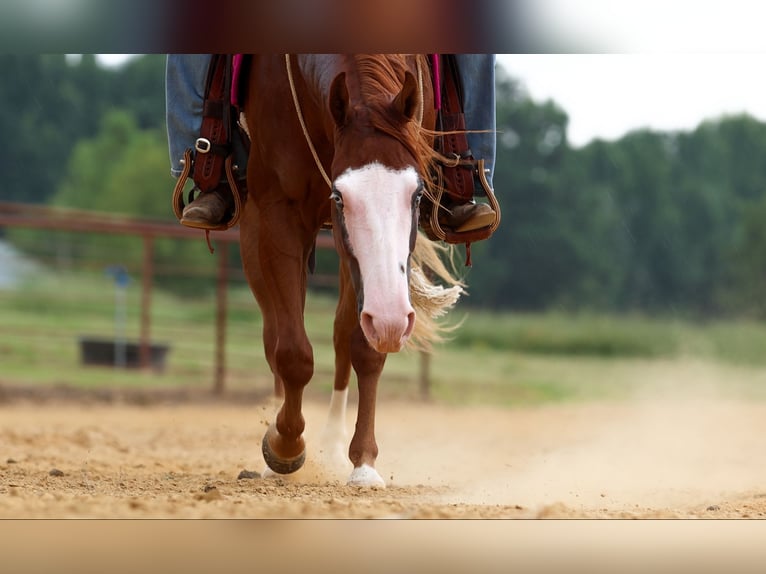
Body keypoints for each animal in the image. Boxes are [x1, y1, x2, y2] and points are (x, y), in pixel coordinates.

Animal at [240, 54, 463, 487]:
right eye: (340, 197)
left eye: (418, 195)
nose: (392, 321)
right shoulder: (274, 214)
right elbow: (292, 351)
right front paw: (284, 445)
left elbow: (363, 347)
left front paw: (363, 461)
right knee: (275, 330)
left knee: (343, 331)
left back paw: (332, 442)